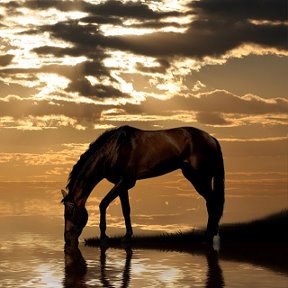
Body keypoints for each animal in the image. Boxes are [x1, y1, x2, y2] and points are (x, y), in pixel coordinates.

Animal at [61, 126, 225, 248]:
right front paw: (127, 237)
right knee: (212, 203)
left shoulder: (126, 182)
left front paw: (103, 238)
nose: (67, 240)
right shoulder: (122, 185)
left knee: (212, 202)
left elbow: (103, 204)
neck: (114, 149)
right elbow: (126, 210)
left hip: (199, 177)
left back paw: (207, 237)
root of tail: (212, 139)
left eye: (69, 214)